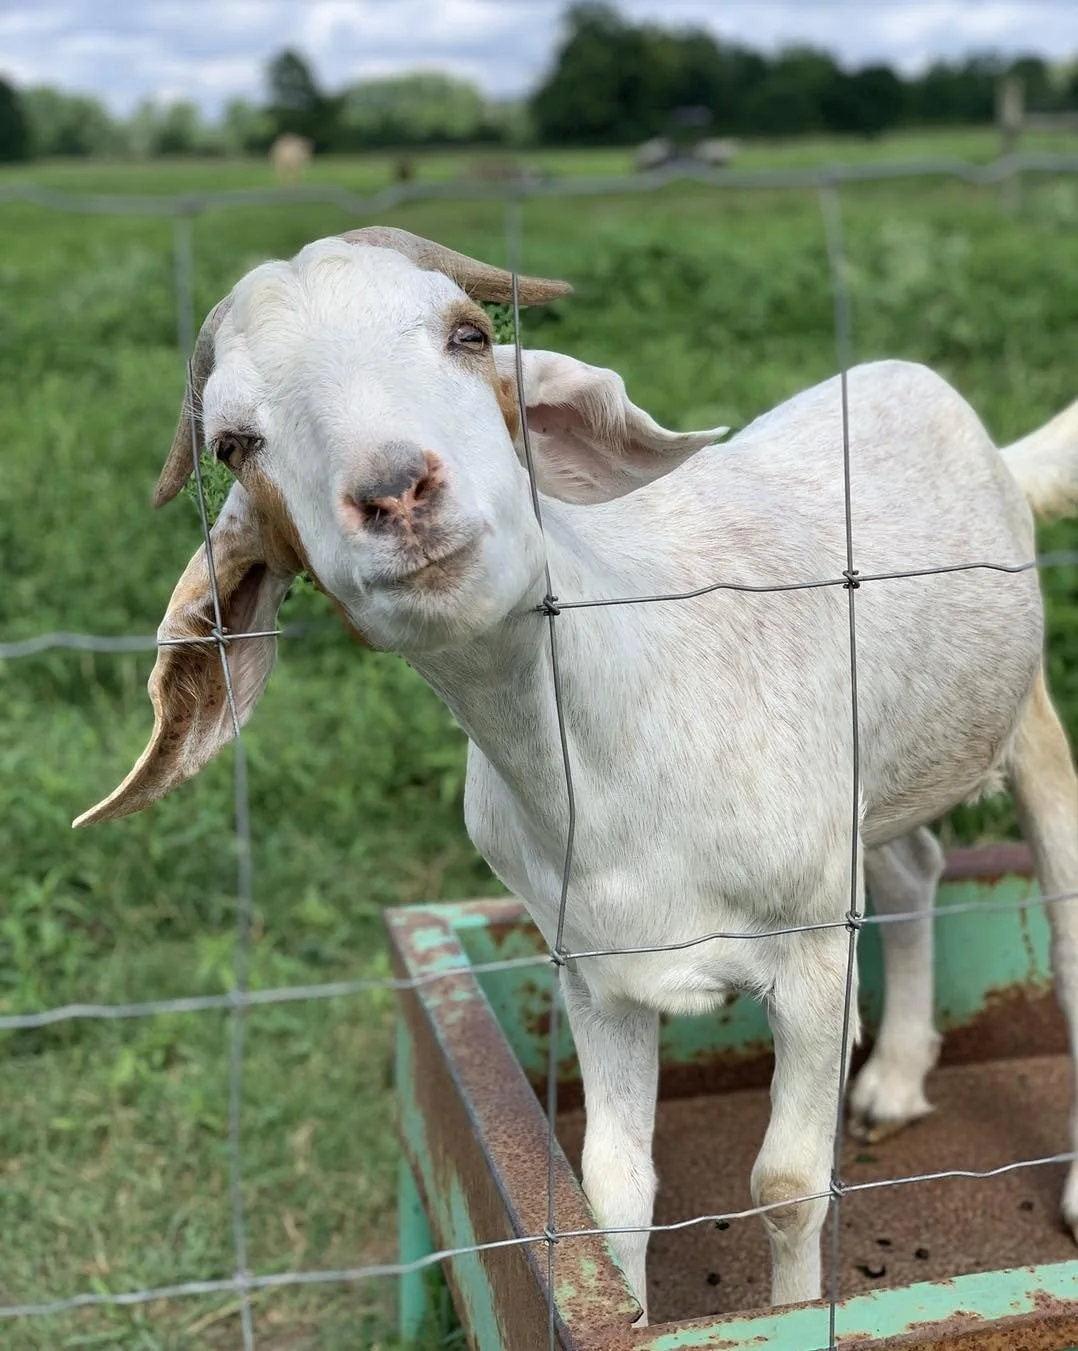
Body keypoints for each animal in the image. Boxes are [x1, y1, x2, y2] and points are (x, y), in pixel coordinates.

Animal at [75, 227, 1078, 1325]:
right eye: (233, 444)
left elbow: (785, 1184)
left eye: (469, 335)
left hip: (1022, 714)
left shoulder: (812, 955)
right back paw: (895, 1078)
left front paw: (787, 1316)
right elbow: (611, 1193)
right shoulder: (596, 971)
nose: (394, 492)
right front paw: (623, 1306)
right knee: (914, 868)